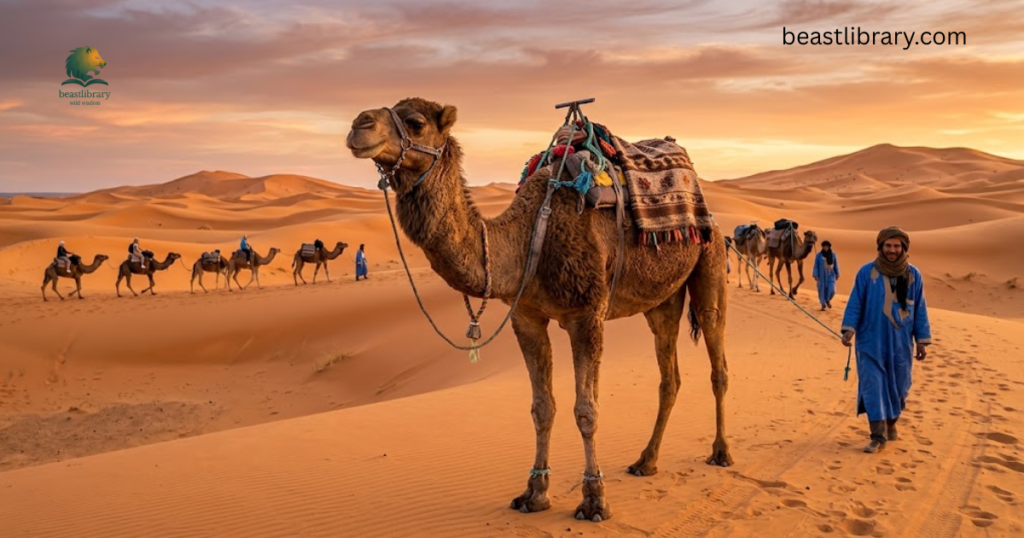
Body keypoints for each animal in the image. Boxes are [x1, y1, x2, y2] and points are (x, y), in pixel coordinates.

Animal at [347, 98, 731, 522]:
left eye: (415, 123)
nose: (359, 125)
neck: (528, 236)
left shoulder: (587, 314)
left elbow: (586, 410)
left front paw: (594, 500)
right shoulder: (526, 317)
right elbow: (542, 407)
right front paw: (534, 493)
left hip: (711, 261)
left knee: (717, 361)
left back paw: (720, 452)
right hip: (661, 301)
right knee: (669, 376)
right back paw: (646, 461)